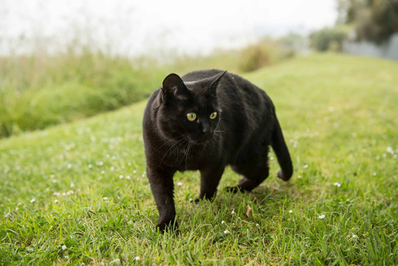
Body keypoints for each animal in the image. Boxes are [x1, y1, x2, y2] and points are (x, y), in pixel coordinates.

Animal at [143, 69, 292, 232]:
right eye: (191, 116)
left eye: (213, 114)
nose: (207, 130)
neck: (181, 148)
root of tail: (266, 96)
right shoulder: (156, 168)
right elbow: (163, 198)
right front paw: (166, 225)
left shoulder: (215, 163)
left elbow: (208, 186)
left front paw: (202, 203)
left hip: (244, 157)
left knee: (263, 171)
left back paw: (237, 188)